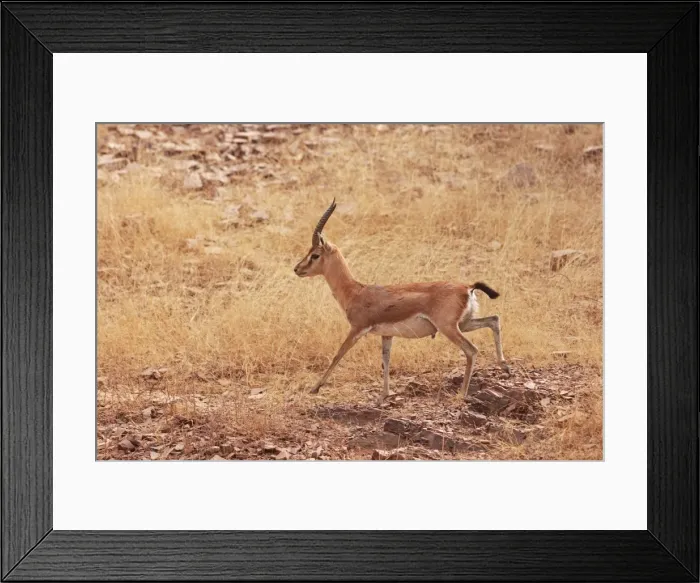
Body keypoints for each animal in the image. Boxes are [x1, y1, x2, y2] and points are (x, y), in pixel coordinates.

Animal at [294, 199, 510, 402]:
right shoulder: (386, 335)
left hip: (449, 328)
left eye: (315, 255)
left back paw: (462, 394)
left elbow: (337, 355)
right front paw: (385, 394)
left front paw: (314, 388)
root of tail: (467, 287)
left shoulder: (357, 329)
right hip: (463, 324)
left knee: (472, 350)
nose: (297, 269)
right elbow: (385, 361)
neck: (356, 291)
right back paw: (504, 366)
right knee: (494, 319)